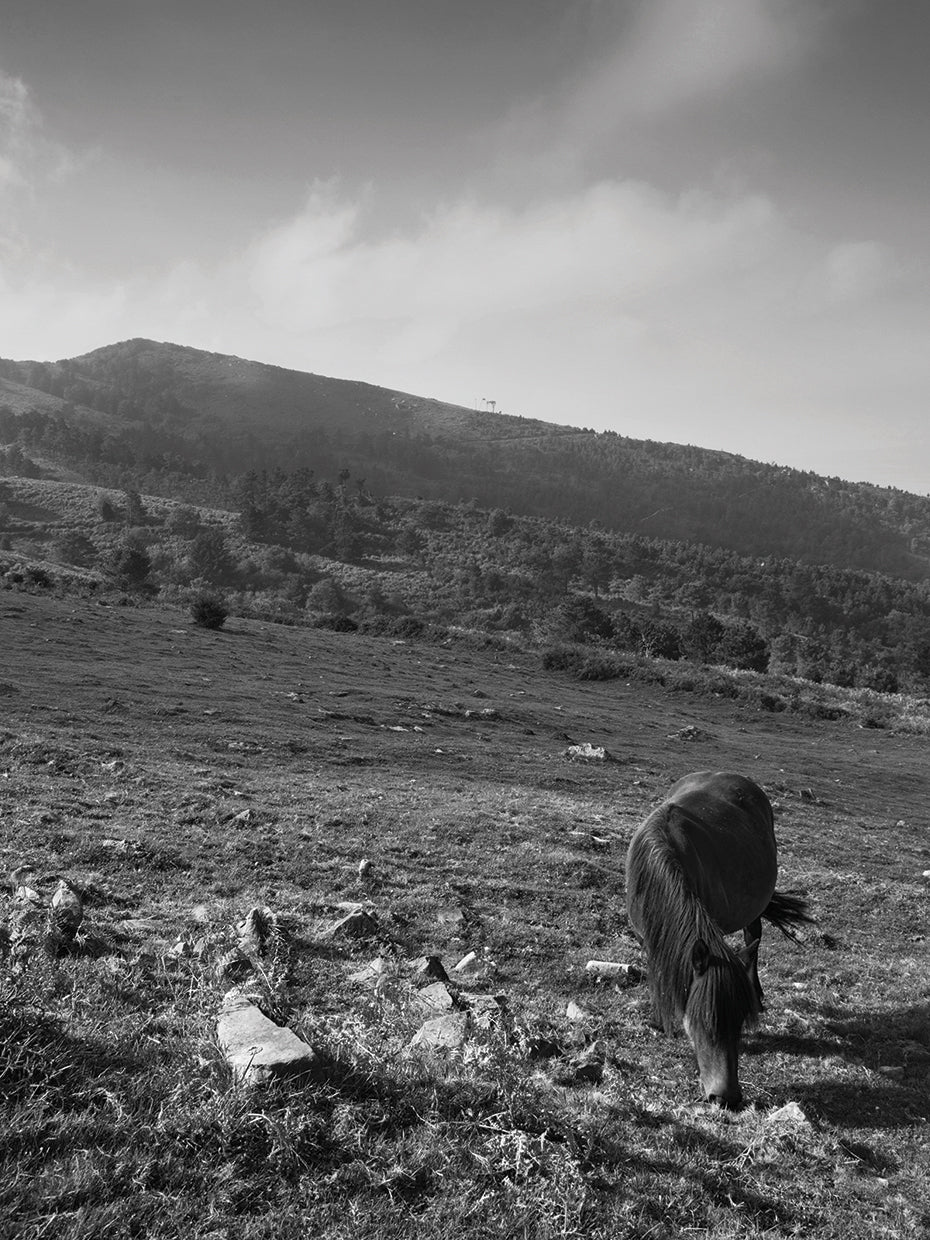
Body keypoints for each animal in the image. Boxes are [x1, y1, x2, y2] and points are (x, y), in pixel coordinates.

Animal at [625, 770, 812, 1109]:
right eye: (702, 1021)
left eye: (739, 1022)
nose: (726, 1097)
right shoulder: (647, 937)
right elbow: (659, 972)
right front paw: (660, 1019)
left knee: (753, 941)